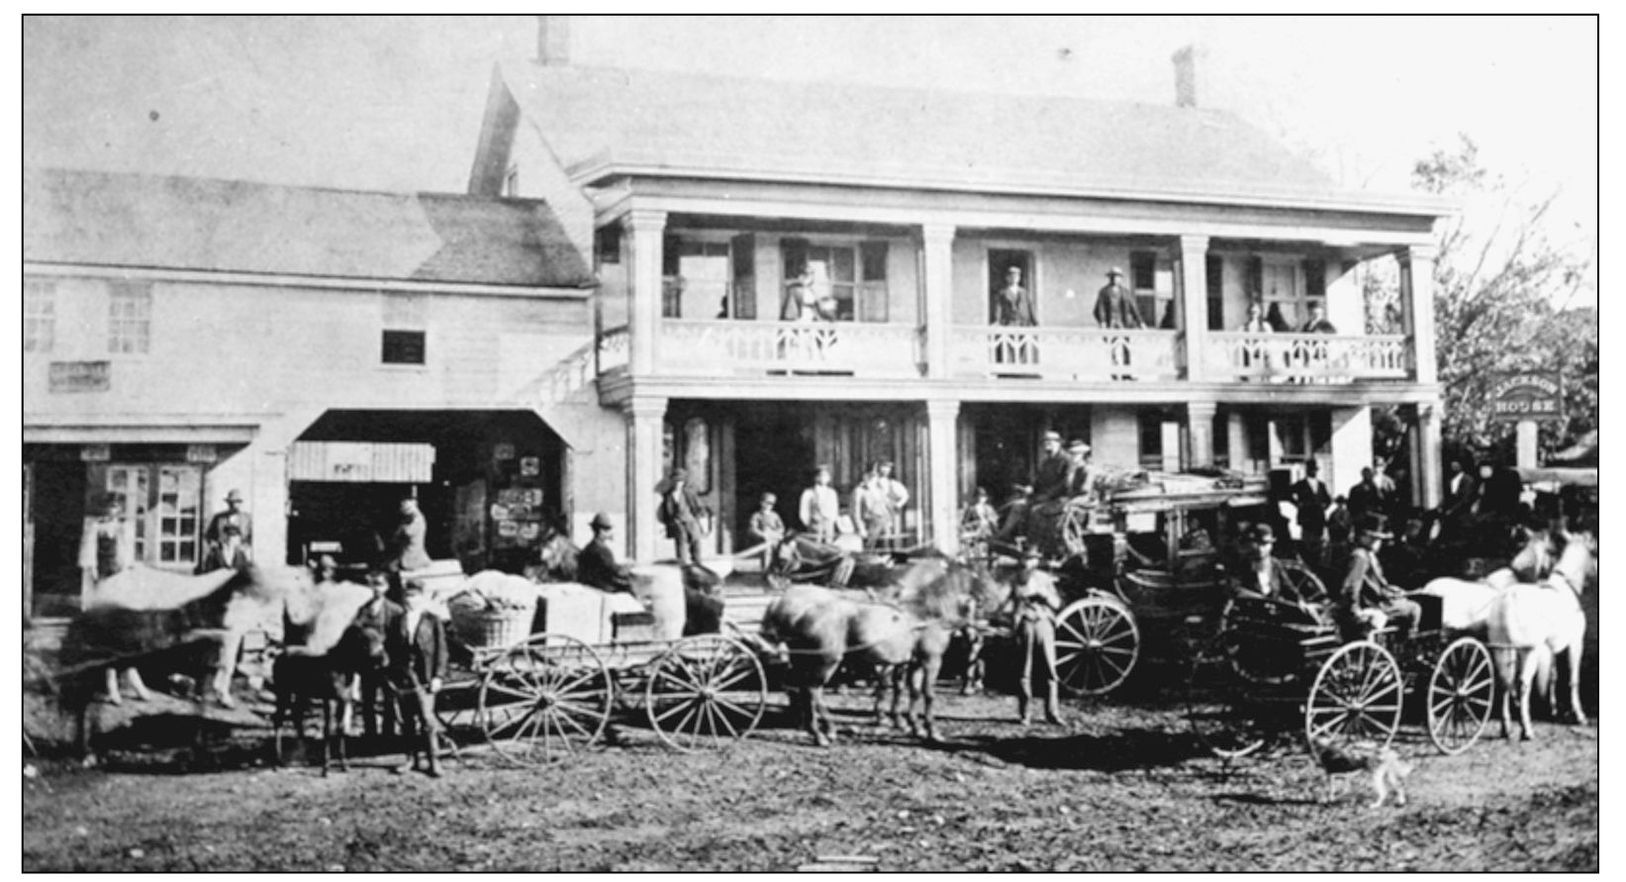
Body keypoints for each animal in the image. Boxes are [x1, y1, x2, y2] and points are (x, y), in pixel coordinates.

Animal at [1489, 530, 1593, 742]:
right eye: (1593, 551)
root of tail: (1508, 600)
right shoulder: (1575, 644)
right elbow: (1573, 679)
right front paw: (1579, 715)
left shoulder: (1551, 648)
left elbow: (1552, 676)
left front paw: (1553, 709)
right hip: (1528, 653)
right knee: (1522, 685)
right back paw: (1526, 729)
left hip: (1503, 651)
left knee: (1505, 683)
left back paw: (1506, 728)